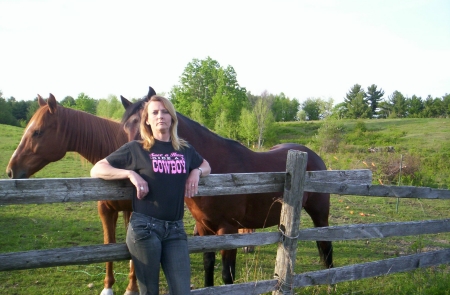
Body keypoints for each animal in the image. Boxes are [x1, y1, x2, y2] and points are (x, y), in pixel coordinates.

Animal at [4, 94, 137, 295]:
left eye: (37, 132)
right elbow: (108, 246)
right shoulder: (106, 211)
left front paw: (131, 288)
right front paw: (108, 287)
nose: (11, 170)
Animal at [121, 87, 332, 286]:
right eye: (125, 128)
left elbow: (227, 274)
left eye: (147, 124)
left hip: (320, 214)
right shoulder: (204, 228)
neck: (218, 174)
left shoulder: (228, 229)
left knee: (326, 246)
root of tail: (314, 156)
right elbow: (208, 264)